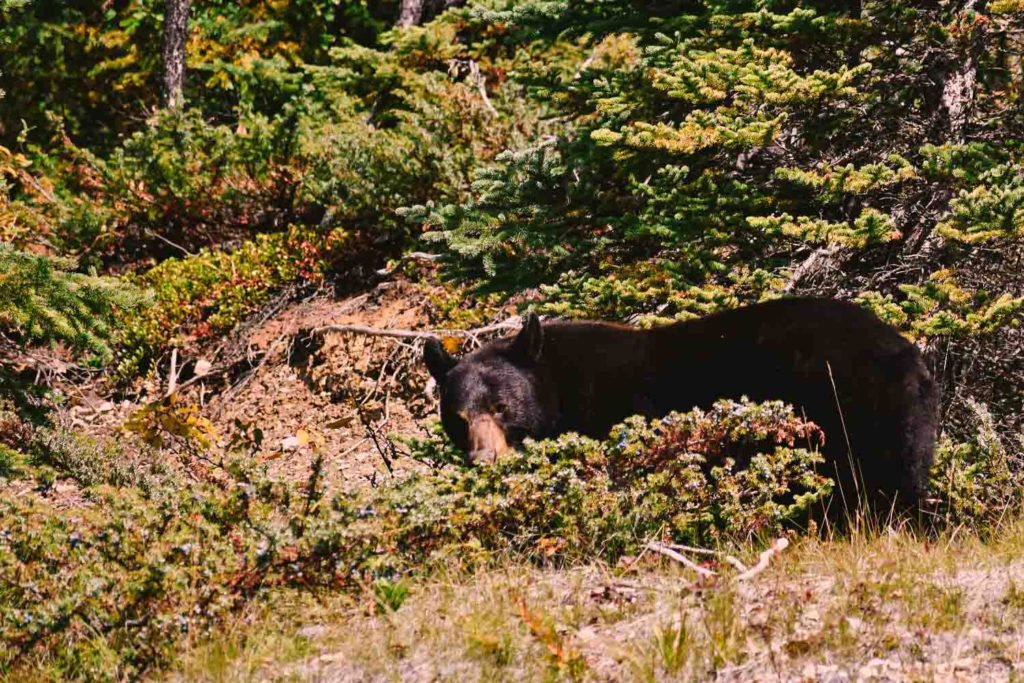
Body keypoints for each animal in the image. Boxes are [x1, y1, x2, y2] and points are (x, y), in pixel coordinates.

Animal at [423, 297, 939, 512]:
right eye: (459, 417)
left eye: (502, 408)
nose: (484, 458)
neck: (559, 385)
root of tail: (908, 352)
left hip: (851, 406)